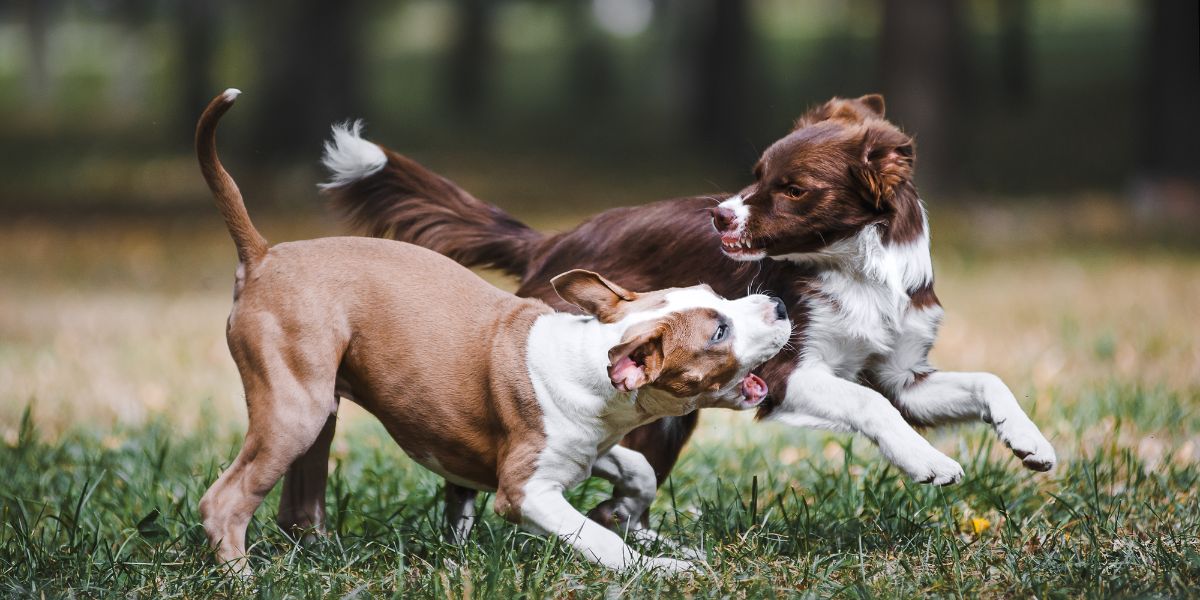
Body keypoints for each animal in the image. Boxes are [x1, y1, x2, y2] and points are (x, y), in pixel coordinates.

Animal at [192, 88, 792, 571]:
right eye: (718, 332)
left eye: (715, 293)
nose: (781, 304)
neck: (589, 358)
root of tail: (263, 255)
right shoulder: (527, 492)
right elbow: (598, 539)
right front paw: (661, 568)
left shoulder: (586, 448)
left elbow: (640, 467)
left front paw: (628, 508)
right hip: (294, 410)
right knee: (223, 502)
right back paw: (242, 577)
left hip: (320, 410)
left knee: (297, 503)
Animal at [321, 91, 1060, 518]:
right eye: (756, 176)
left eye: (793, 189)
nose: (718, 215)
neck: (858, 270)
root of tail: (554, 241)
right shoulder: (792, 375)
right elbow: (867, 406)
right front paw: (927, 462)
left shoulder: (904, 375)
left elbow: (980, 382)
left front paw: (1030, 441)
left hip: (665, 416)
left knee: (622, 494)